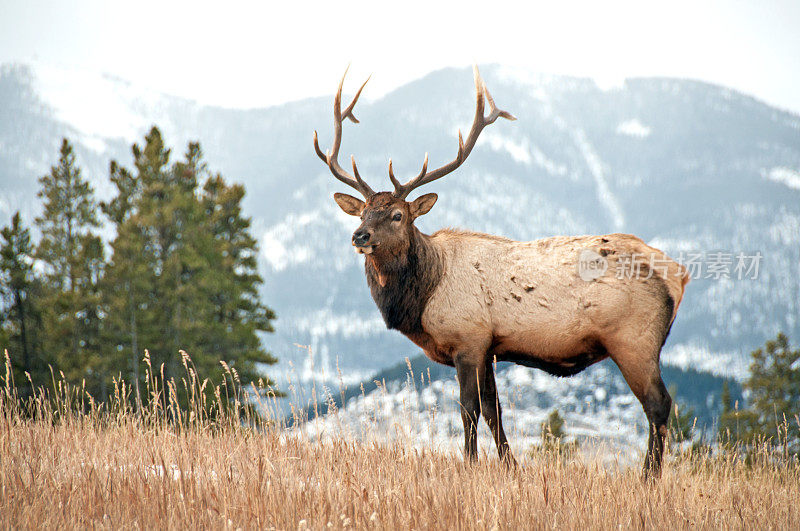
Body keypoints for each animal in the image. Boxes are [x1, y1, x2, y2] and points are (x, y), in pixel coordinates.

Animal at [312, 66, 688, 478]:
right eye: (363, 212)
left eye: (397, 215)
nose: (359, 235)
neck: (422, 297)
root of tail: (678, 273)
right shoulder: (490, 347)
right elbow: (495, 411)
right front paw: (511, 467)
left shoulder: (468, 338)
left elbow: (468, 410)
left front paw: (469, 465)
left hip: (634, 339)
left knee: (658, 405)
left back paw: (648, 477)